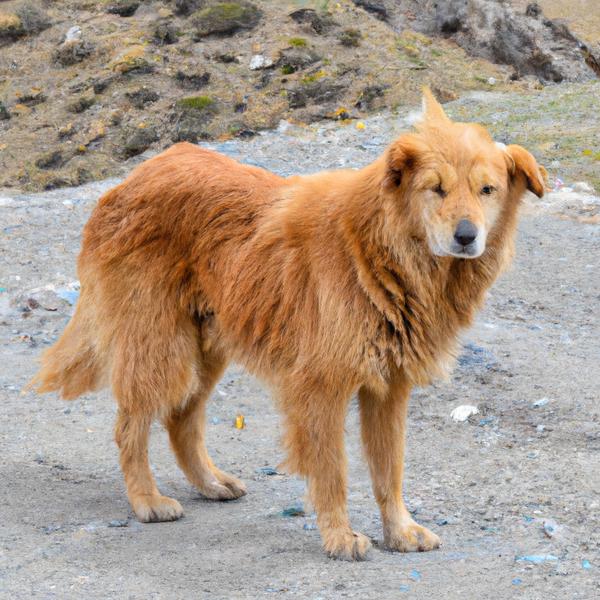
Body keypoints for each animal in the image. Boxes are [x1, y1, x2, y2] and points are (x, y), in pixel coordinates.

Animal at [31, 91, 544, 560]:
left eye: (487, 190)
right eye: (435, 189)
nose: (466, 236)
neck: (380, 252)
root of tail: (137, 173)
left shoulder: (389, 388)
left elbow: (389, 470)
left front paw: (400, 531)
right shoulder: (321, 386)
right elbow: (333, 472)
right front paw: (339, 537)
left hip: (208, 345)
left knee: (181, 420)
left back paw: (210, 482)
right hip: (160, 343)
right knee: (131, 425)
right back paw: (146, 499)